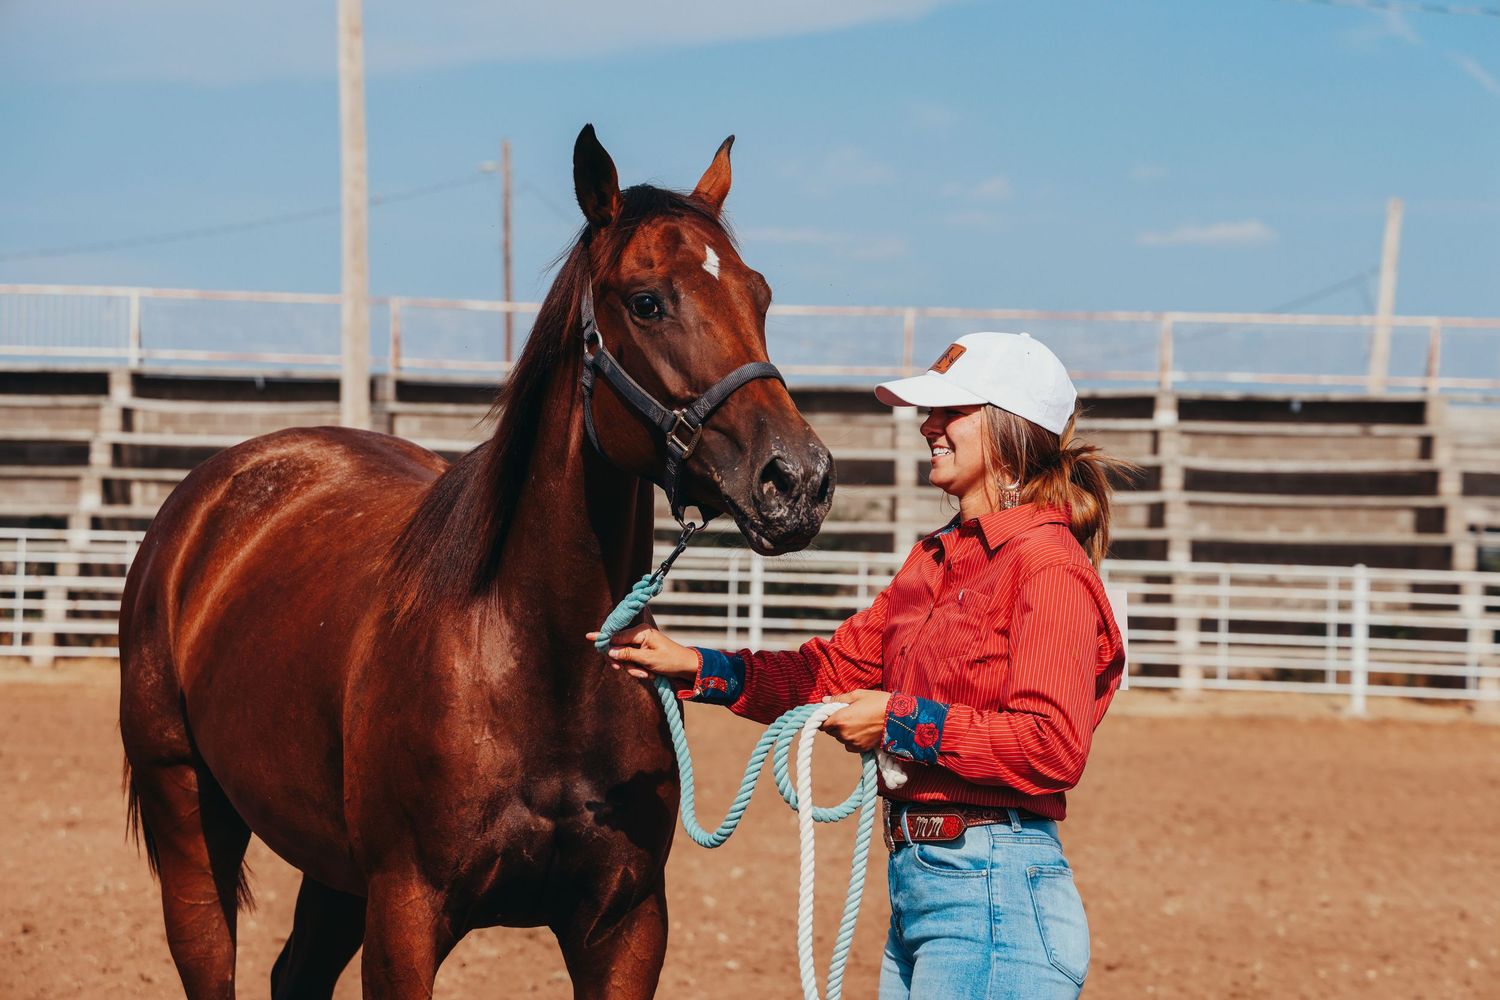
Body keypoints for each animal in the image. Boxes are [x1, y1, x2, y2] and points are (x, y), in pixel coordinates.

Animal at [118, 124, 835, 999]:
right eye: (646, 300)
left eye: (759, 295)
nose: (798, 480)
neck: (533, 660)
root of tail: (208, 497)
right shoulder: (406, 914)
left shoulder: (627, 926)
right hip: (187, 812)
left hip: (333, 868)